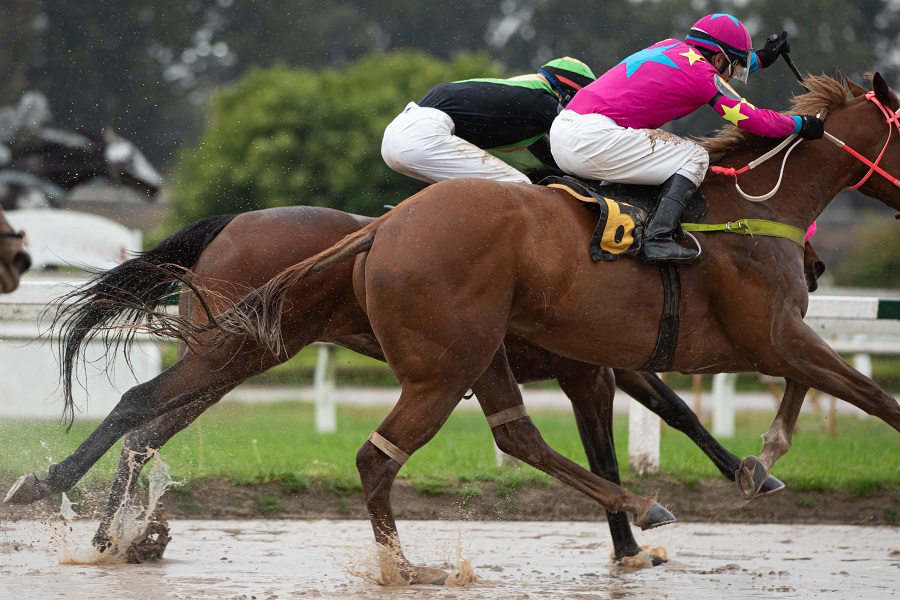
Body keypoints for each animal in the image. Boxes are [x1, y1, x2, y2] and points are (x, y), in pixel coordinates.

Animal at [5, 204, 808, 564]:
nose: (816, 266)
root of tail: (232, 221)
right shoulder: (591, 366)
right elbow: (637, 430)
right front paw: (644, 528)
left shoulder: (607, 362)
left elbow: (670, 416)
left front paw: (744, 474)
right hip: (229, 347)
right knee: (138, 405)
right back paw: (55, 491)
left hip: (241, 355)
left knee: (149, 427)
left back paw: (113, 531)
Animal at [179, 75, 896, 580]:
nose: (818, 266)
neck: (734, 215)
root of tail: (381, 230)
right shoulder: (752, 336)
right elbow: (860, 393)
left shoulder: (642, 355)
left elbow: (686, 413)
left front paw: (748, 471)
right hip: (422, 366)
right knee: (371, 454)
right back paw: (404, 568)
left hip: (462, 355)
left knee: (507, 434)